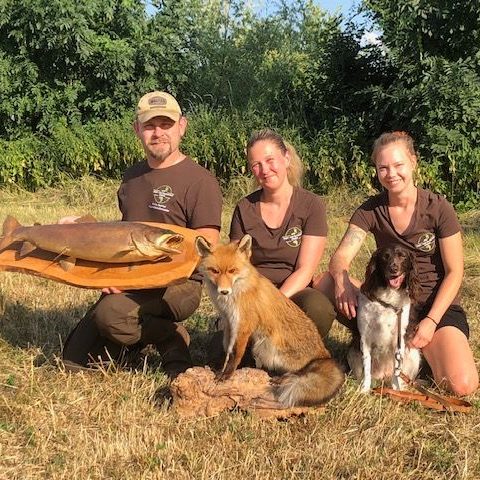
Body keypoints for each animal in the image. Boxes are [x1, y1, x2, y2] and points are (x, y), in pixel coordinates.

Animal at [196, 234, 344, 406]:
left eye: (232, 270)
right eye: (215, 271)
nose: (224, 291)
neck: (238, 292)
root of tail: (324, 355)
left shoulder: (244, 325)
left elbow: (236, 354)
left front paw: (228, 374)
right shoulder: (229, 322)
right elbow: (228, 350)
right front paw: (221, 369)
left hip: (266, 347)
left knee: (299, 373)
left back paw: (283, 379)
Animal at [348, 246, 420, 392]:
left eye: (403, 256)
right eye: (385, 257)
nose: (394, 268)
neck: (388, 299)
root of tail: (383, 376)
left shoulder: (399, 340)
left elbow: (397, 371)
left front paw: (397, 390)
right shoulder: (364, 338)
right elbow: (367, 367)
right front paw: (365, 389)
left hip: (415, 354)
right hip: (352, 353)